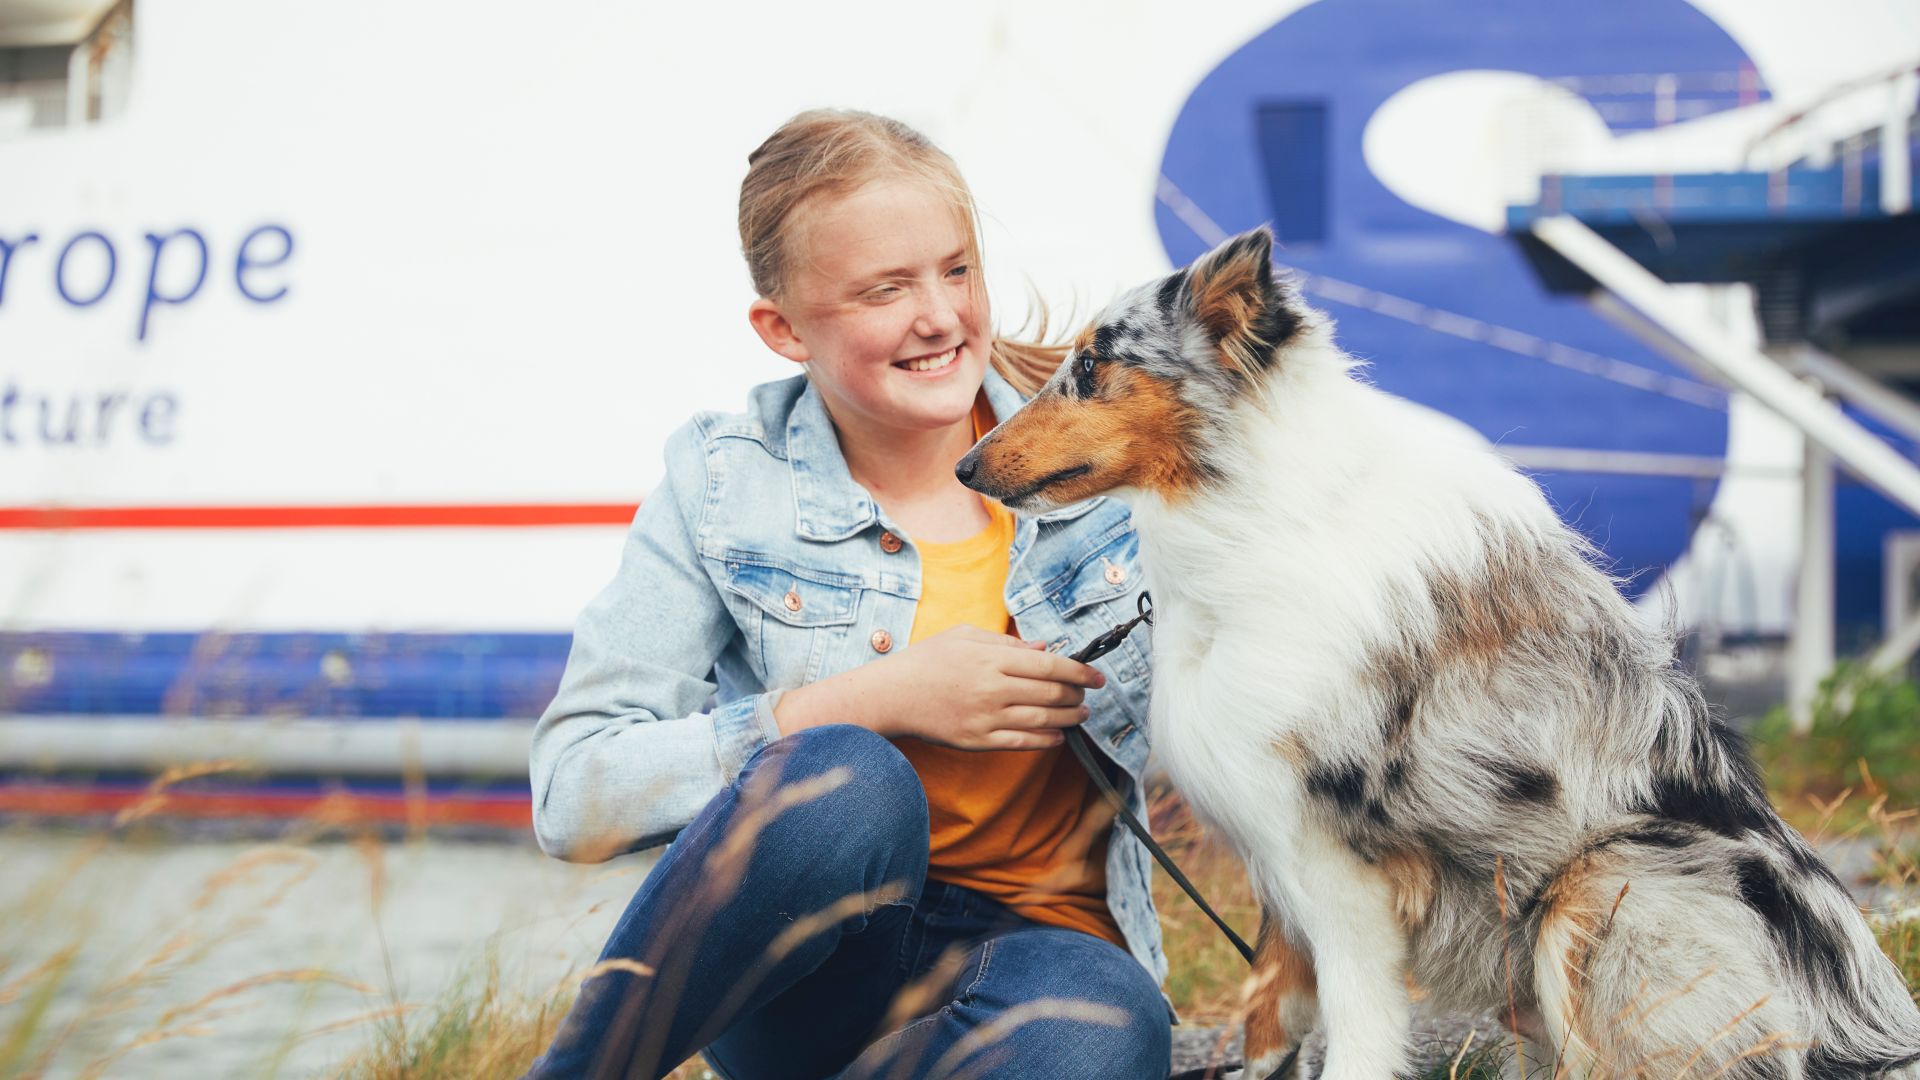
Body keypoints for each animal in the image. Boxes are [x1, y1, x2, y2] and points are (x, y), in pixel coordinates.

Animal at [956, 222, 1920, 1068]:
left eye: (1090, 367)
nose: (965, 466)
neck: (1256, 516)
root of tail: (1867, 1035)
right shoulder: (1272, 848)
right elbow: (1270, 1014)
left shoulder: (1336, 855)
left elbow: (1359, 1030)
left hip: (1599, 887)